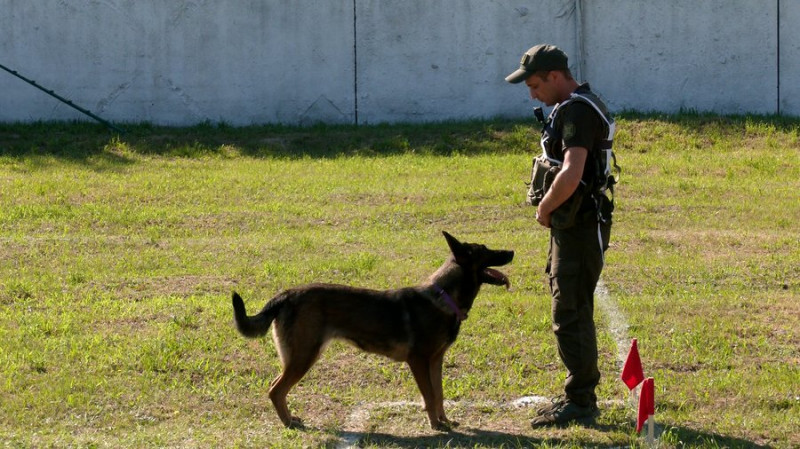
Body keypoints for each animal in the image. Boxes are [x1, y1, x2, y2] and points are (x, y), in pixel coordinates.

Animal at [234, 233, 516, 428]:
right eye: (485, 250)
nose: (512, 251)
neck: (445, 297)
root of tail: (286, 295)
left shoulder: (436, 360)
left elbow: (439, 394)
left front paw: (444, 421)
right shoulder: (418, 362)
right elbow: (429, 395)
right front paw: (435, 425)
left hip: (299, 358)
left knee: (276, 388)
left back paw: (290, 418)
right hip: (304, 357)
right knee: (275, 390)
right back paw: (289, 423)